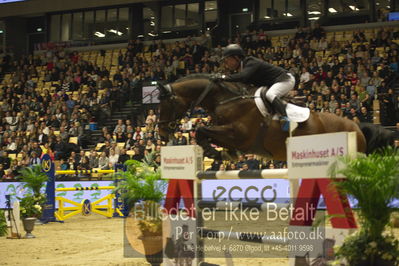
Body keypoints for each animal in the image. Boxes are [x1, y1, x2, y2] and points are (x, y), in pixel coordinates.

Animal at [159, 73, 396, 160]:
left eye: (165, 103)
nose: (161, 134)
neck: (226, 100)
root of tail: (357, 127)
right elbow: (206, 134)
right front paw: (224, 154)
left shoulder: (239, 135)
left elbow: (201, 130)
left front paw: (215, 153)